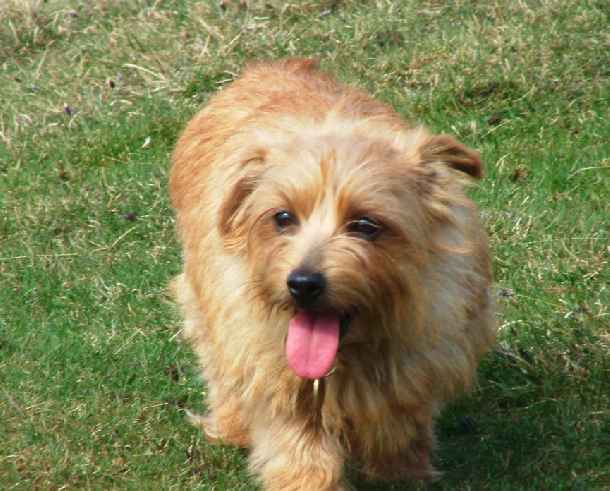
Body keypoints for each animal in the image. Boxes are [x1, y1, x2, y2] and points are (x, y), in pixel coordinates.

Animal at [167, 59, 494, 490]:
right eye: (282, 217)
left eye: (365, 225)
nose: (302, 284)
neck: (350, 355)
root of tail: (270, 66)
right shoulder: (274, 371)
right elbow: (300, 452)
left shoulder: (416, 358)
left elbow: (400, 424)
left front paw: (402, 472)